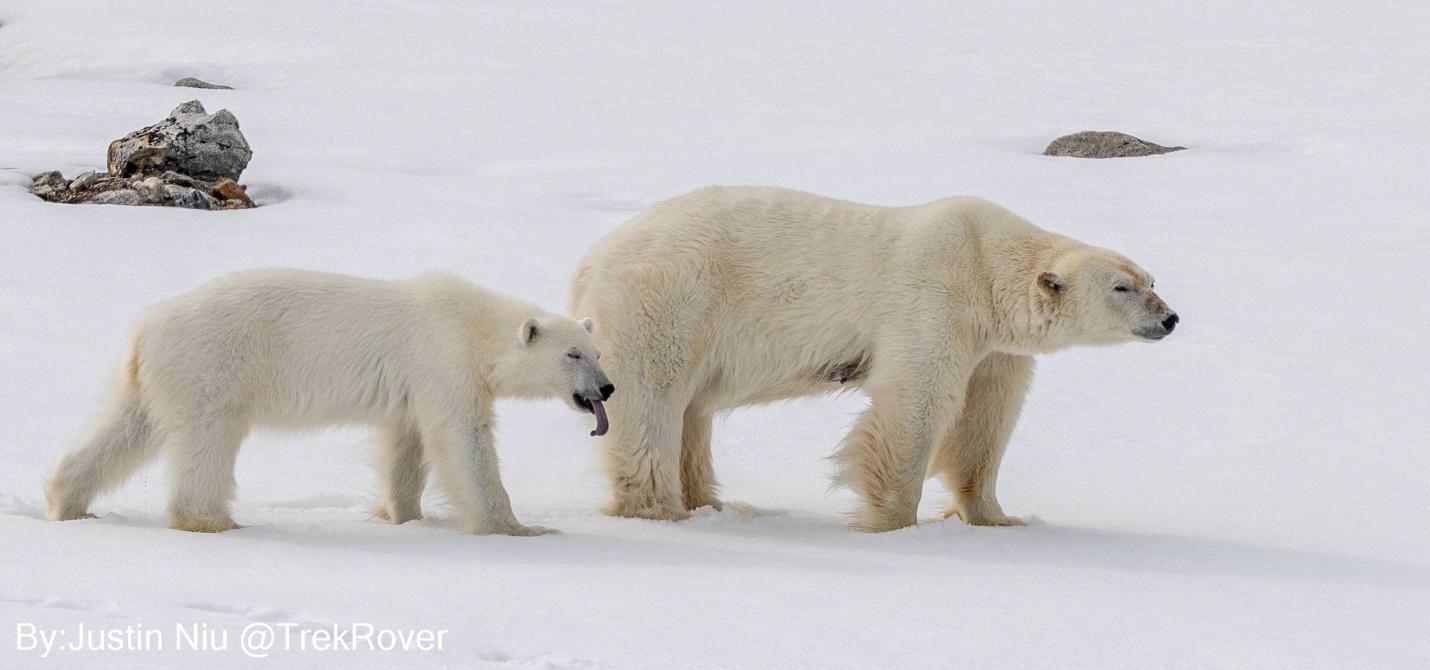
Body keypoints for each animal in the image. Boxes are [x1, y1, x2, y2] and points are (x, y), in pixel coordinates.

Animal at [43, 268, 614, 534]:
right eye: (572, 354)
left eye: (598, 351)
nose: (606, 388)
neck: (473, 326)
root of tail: (143, 330)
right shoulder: (442, 359)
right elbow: (463, 440)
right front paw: (519, 527)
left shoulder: (415, 386)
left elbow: (405, 445)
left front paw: (404, 516)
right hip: (213, 365)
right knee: (207, 441)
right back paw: (211, 519)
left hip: (158, 379)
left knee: (126, 429)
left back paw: (68, 502)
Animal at [566, 185, 1172, 531]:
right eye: (1121, 288)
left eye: (1151, 279)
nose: (1170, 318)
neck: (986, 264)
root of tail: (592, 259)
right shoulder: (935, 300)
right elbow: (917, 403)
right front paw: (894, 521)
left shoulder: (994, 346)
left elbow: (987, 419)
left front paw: (998, 517)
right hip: (669, 299)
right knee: (652, 399)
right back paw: (659, 509)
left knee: (691, 411)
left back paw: (709, 503)